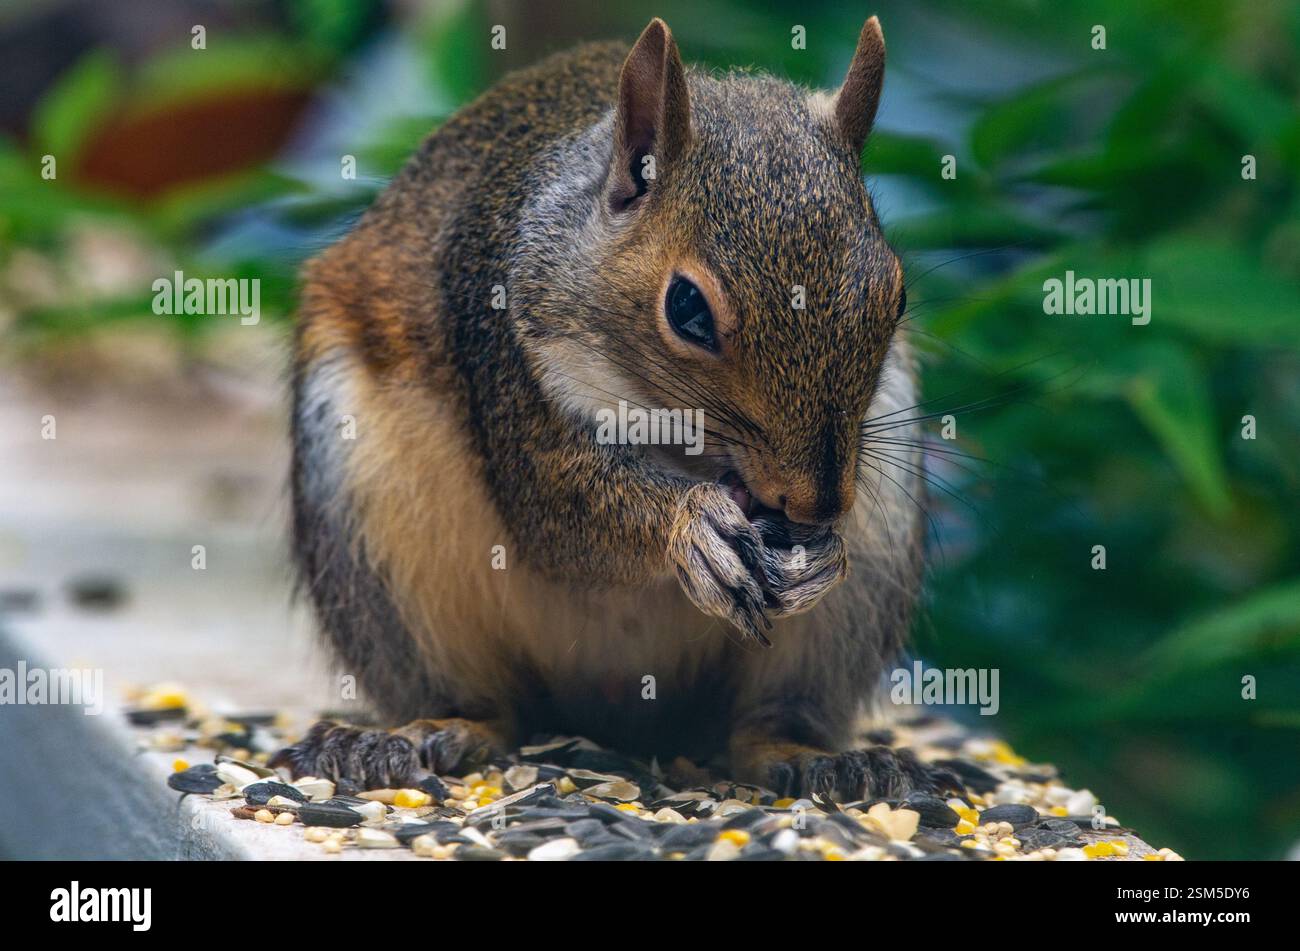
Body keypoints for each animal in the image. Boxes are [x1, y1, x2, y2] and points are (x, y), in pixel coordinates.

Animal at [278, 16, 955, 802]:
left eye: (896, 297)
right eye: (687, 307)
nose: (816, 504)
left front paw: (821, 556)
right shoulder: (501, 354)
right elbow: (557, 516)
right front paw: (691, 527)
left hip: (856, 593)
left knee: (765, 722)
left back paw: (820, 756)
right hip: (376, 545)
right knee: (482, 704)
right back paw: (418, 735)